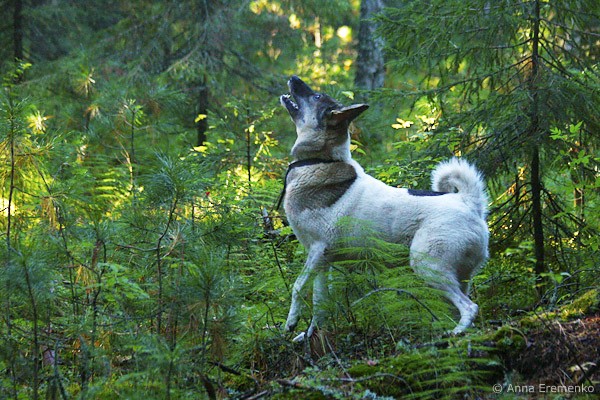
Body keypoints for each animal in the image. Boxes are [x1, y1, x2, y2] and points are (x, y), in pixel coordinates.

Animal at [279, 76, 489, 340]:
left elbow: (297, 287)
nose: (293, 78)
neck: (321, 160)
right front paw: (310, 335)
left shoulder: (317, 250)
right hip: (455, 274)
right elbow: (320, 304)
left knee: (470, 306)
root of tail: (469, 202)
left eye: (316, 96)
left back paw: (457, 331)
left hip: (428, 265)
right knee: (461, 303)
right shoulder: (323, 262)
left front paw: (290, 322)